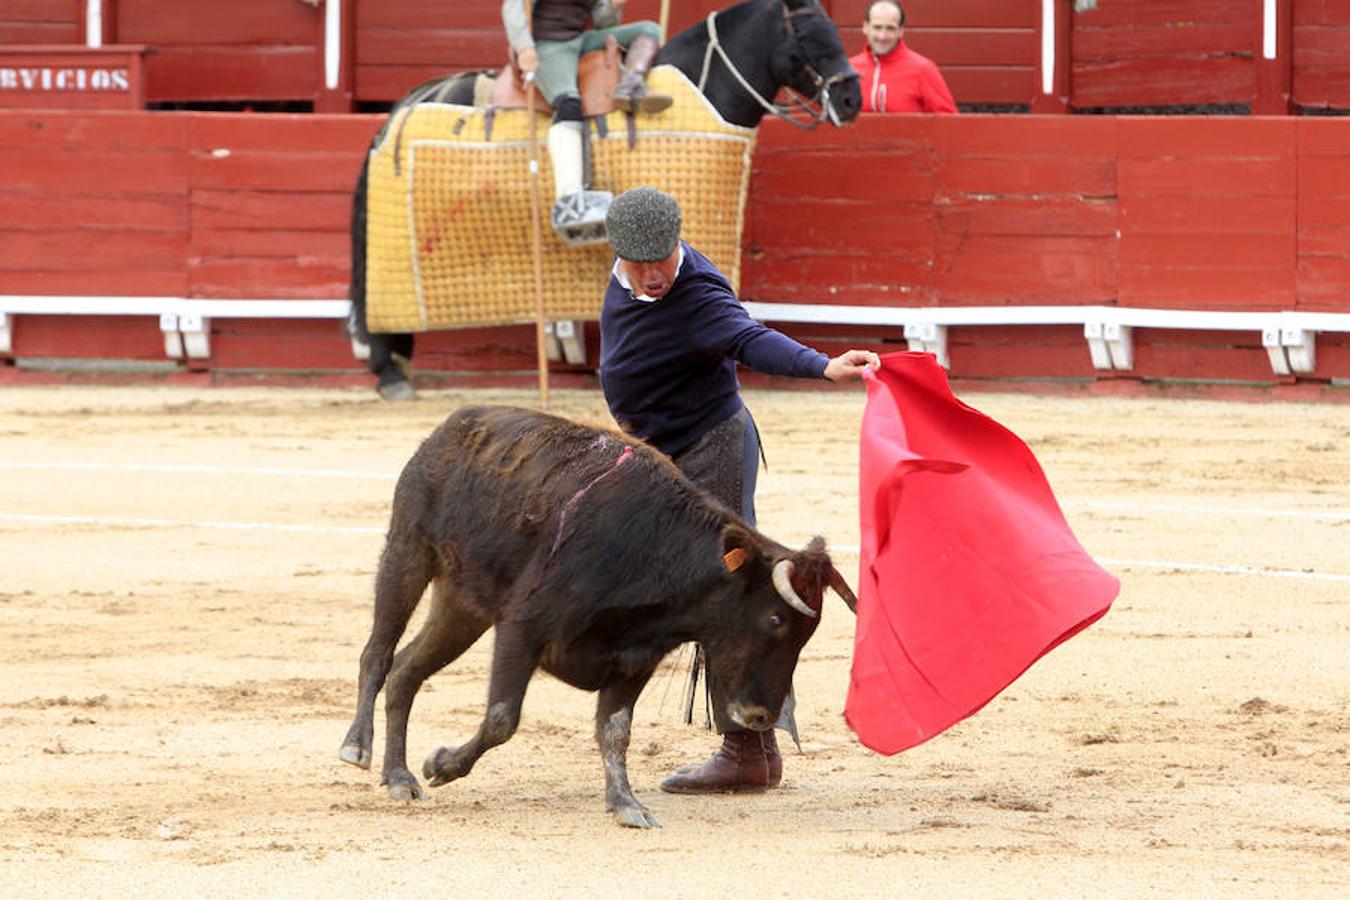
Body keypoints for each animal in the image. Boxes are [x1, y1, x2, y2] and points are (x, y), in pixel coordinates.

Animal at [342, 407, 858, 831]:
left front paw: (626, 804)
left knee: (407, 669)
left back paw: (398, 775)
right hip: (407, 551)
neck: (656, 554)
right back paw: (359, 748)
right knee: (378, 654)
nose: (761, 715)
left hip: (461, 605)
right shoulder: (521, 627)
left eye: (805, 636)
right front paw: (443, 765)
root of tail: (452, 427)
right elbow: (502, 718)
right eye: (775, 620)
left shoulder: (635, 657)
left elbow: (615, 731)